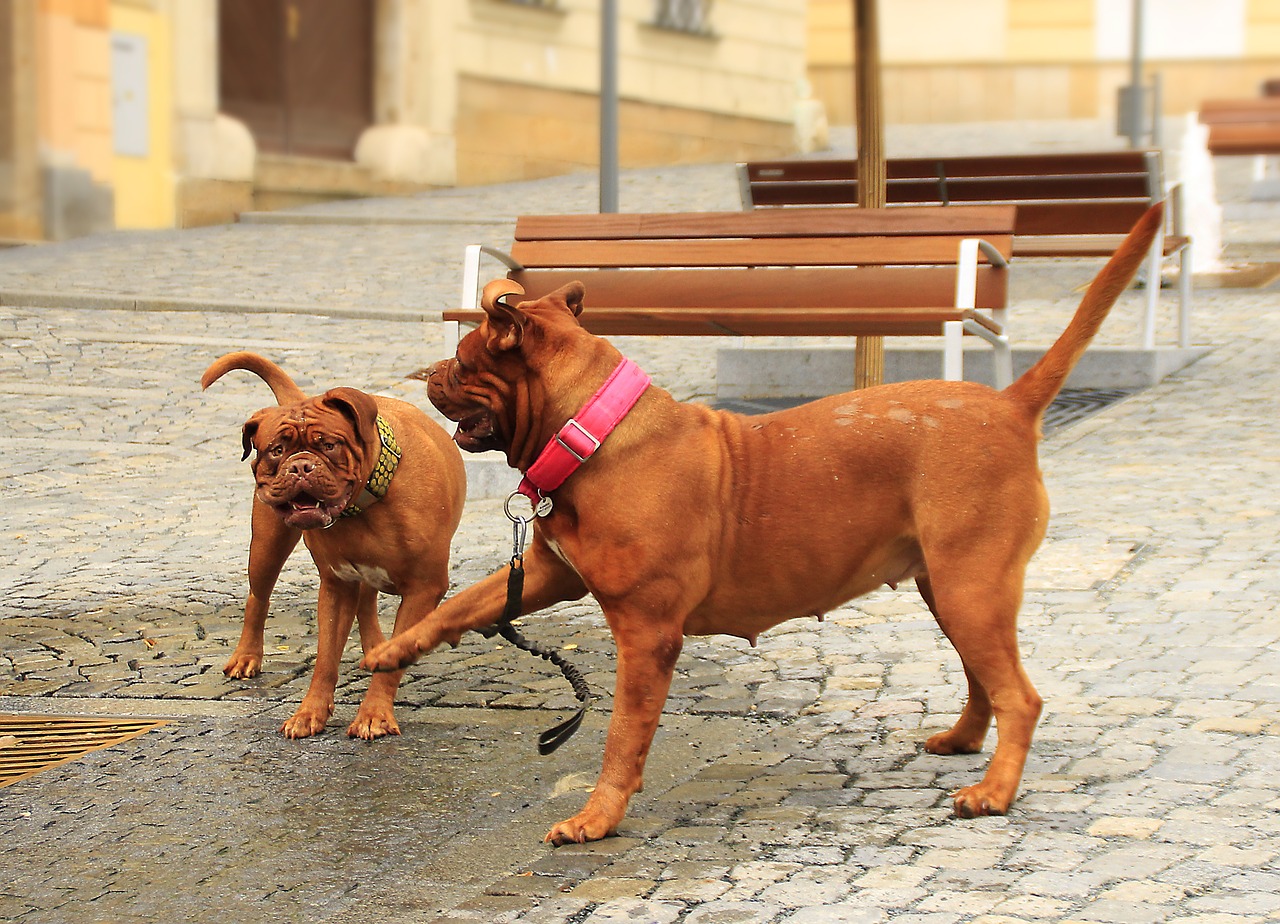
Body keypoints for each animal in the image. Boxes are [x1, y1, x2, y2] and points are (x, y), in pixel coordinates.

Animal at [207, 348, 468, 737]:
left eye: (328, 445)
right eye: (276, 450)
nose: (300, 465)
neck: (363, 505)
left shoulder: (424, 588)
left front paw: (374, 714)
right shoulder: (337, 585)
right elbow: (326, 657)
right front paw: (309, 713)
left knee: (367, 604)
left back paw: (376, 649)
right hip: (267, 547)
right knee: (258, 598)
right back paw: (246, 656)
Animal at [363, 204, 1172, 839]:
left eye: (464, 358)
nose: (423, 373)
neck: (590, 428)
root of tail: (1008, 403)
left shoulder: (646, 635)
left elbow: (622, 737)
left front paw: (598, 817)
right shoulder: (549, 574)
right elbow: (463, 603)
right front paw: (392, 649)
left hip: (971, 586)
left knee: (1020, 695)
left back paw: (995, 793)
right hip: (950, 588)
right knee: (985, 678)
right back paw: (966, 741)